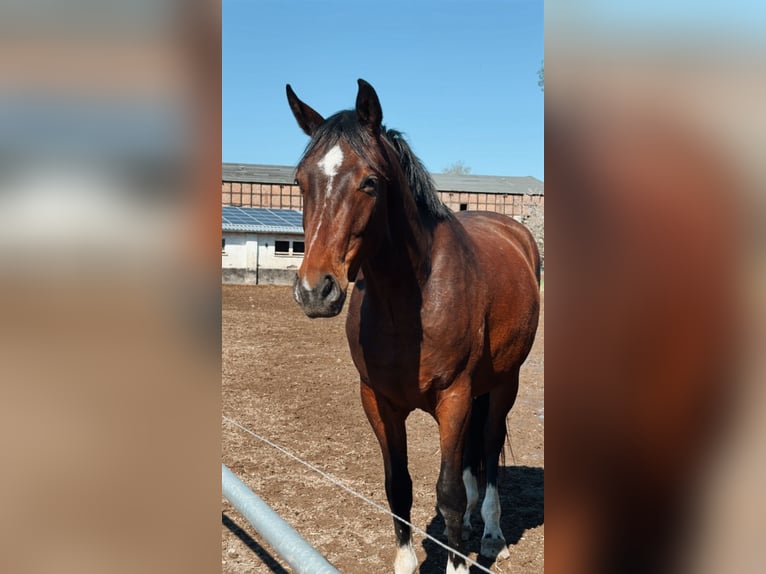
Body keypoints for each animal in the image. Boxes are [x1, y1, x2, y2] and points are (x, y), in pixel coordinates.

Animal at [286, 79, 540, 574]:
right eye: (301, 181)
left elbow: (449, 494)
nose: (314, 290)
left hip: (504, 383)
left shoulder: (454, 398)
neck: (408, 304)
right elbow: (398, 487)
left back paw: (491, 534)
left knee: (489, 448)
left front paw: (458, 561)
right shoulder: (377, 401)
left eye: (369, 182)